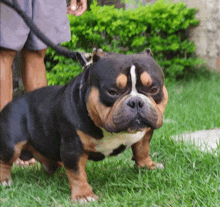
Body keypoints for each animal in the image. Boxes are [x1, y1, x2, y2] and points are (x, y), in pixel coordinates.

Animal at [0, 49, 168, 204]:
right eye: (112, 92)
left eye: (154, 89)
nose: (136, 102)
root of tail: (11, 103)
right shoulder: (73, 147)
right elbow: (77, 173)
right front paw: (83, 195)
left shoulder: (146, 133)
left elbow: (142, 150)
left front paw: (147, 166)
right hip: (11, 145)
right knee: (5, 161)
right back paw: (4, 180)